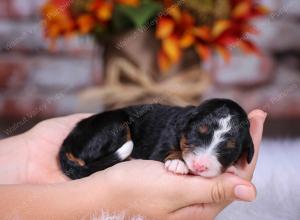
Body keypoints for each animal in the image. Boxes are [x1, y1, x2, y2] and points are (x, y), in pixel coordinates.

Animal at [58, 99, 253, 180]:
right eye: (196, 134)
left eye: (229, 148)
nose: (200, 166)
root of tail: (69, 139)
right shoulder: (162, 145)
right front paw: (178, 163)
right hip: (115, 125)